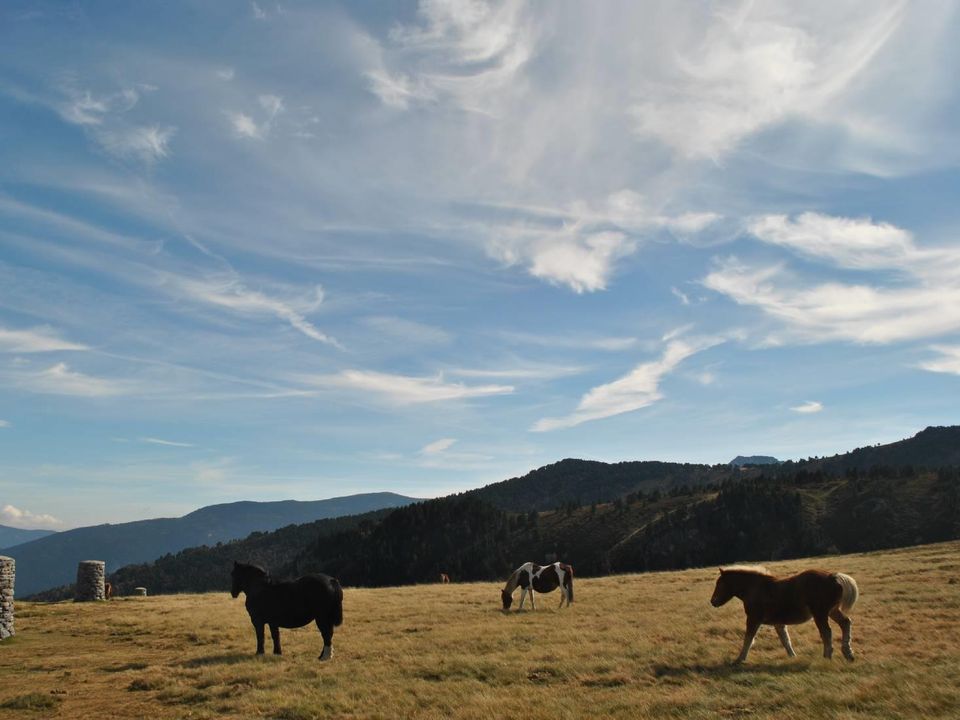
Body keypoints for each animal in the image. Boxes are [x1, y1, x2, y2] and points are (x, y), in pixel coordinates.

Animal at [708, 564, 860, 668]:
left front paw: (739, 660)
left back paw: (827, 657)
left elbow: (748, 640)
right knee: (845, 623)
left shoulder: (753, 619)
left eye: (720, 584)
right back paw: (848, 654)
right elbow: (785, 640)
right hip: (832, 611)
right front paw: (793, 656)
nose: (713, 601)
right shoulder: (778, 623)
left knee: (827, 632)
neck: (754, 588)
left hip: (820, 614)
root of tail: (833, 577)